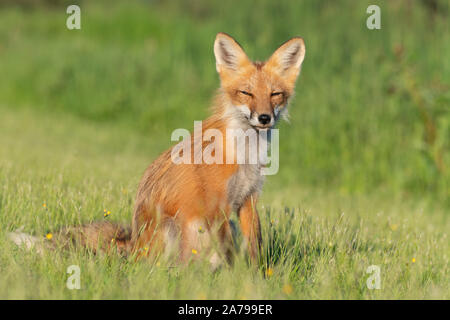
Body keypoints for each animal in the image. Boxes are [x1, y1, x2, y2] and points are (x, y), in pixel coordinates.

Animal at [8, 33, 306, 266]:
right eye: (246, 93)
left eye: (275, 94)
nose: (264, 118)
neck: (244, 151)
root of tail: (133, 247)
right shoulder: (217, 204)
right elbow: (229, 252)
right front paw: (233, 281)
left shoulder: (247, 199)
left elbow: (254, 246)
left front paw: (256, 280)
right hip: (175, 227)